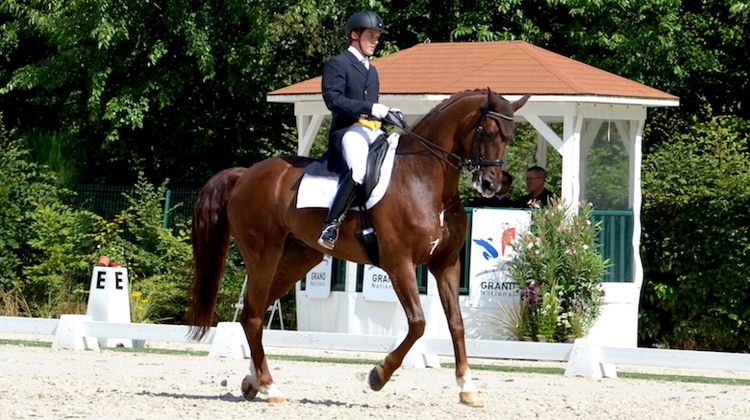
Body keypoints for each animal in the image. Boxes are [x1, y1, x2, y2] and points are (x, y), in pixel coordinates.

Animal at [191, 89, 532, 406]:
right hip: (264, 254)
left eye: (510, 136)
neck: (429, 182)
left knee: (254, 311)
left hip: (298, 257)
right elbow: (418, 323)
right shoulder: (399, 264)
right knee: (252, 316)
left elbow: (456, 324)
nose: (490, 184)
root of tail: (244, 174)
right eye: (490, 133)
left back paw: (253, 381)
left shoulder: (446, 264)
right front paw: (378, 375)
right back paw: (270, 387)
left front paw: (467, 388)